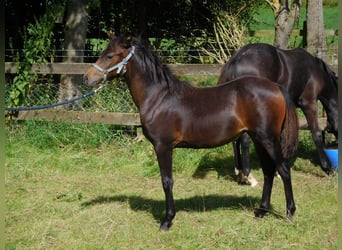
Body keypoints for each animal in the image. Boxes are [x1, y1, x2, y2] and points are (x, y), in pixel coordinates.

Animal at [83, 35, 300, 230]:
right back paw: (261, 212)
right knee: (268, 172)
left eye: (110, 56)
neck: (159, 98)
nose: (87, 77)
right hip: (258, 139)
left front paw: (167, 220)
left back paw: (290, 213)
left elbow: (167, 181)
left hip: (268, 139)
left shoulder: (163, 146)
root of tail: (276, 87)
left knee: (283, 170)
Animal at [218, 43, 338, 180]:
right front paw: (327, 168)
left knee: (236, 139)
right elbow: (316, 134)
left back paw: (239, 172)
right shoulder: (309, 103)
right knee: (245, 140)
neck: (315, 72)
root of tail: (236, 60)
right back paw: (248, 176)